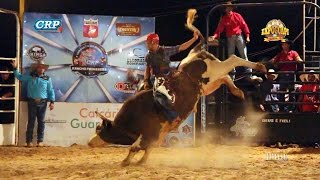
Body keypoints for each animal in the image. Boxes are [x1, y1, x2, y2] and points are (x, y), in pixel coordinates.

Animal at [87, 8, 268, 166]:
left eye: (99, 129)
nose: (89, 143)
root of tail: (196, 52)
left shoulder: (150, 131)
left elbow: (136, 146)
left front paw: (127, 161)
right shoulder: (158, 133)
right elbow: (148, 148)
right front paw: (140, 161)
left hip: (215, 69)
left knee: (233, 59)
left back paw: (260, 67)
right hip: (209, 84)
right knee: (226, 77)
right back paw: (238, 91)